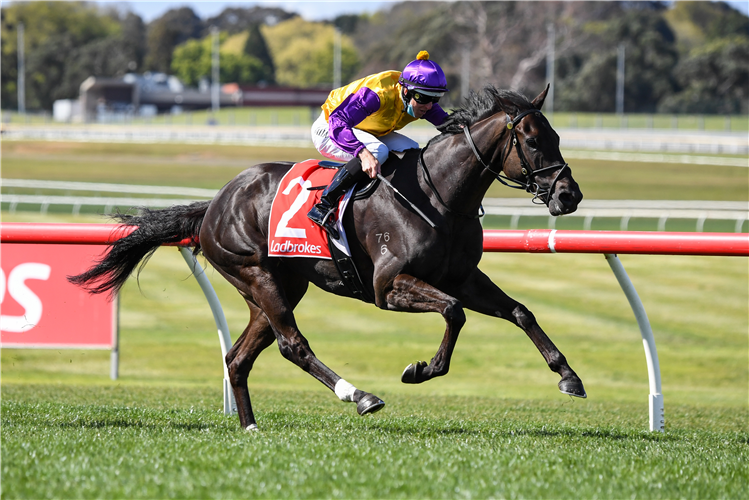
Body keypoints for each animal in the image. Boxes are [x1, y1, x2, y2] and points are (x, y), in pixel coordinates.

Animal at [70, 85, 584, 430]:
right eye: (533, 141)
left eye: (558, 136)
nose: (569, 195)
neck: (439, 195)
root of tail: (215, 203)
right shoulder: (387, 286)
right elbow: (454, 314)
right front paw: (421, 370)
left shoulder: (462, 276)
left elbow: (520, 311)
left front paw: (568, 376)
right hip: (256, 273)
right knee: (292, 345)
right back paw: (359, 395)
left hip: (279, 286)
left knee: (239, 357)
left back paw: (250, 425)